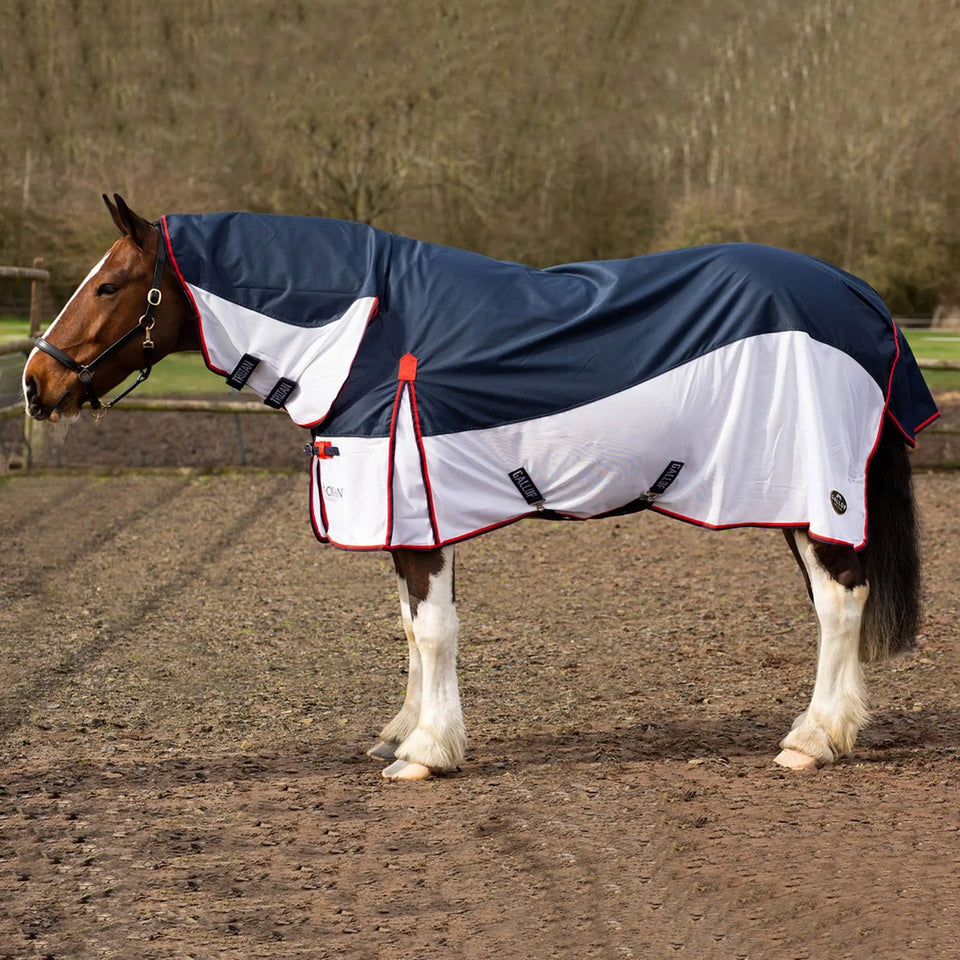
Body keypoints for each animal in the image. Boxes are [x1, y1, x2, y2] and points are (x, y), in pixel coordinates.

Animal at [22, 194, 939, 780]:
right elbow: (410, 629)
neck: (370, 331)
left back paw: (813, 740)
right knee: (840, 603)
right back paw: (841, 728)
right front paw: (405, 734)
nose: (36, 383)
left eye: (108, 285)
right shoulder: (410, 513)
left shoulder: (415, 509)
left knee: (839, 604)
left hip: (814, 494)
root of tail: (860, 299)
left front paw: (427, 753)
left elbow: (433, 633)